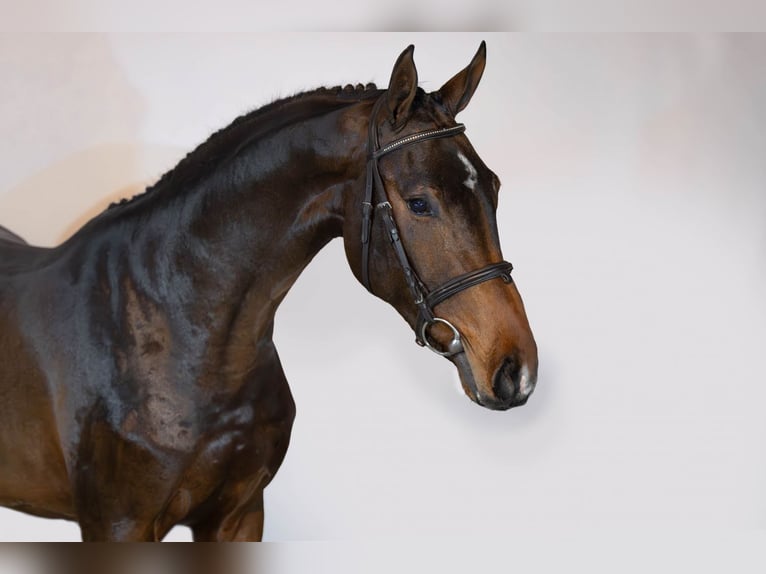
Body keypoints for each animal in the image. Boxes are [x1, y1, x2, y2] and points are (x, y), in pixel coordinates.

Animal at [0, 42, 538, 541]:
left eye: (493, 188)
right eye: (420, 202)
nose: (516, 369)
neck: (175, 328)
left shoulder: (239, 515)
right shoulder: (118, 526)